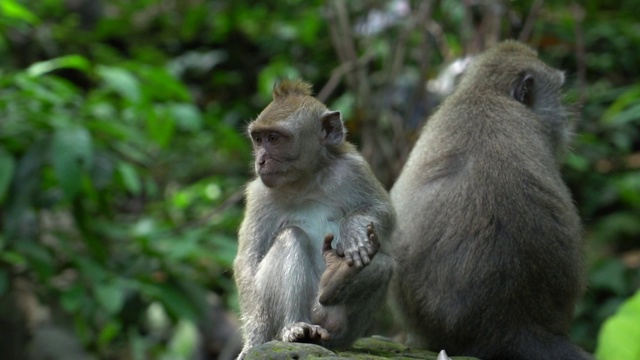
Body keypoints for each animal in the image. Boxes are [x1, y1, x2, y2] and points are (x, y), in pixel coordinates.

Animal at [235, 78, 396, 358]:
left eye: (273, 138)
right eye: (258, 139)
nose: (261, 161)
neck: (306, 181)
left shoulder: (353, 169)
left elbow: (384, 209)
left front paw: (354, 231)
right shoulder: (260, 195)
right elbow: (247, 261)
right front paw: (254, 340)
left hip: (339, 326)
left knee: (385, 264)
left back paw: (337, 281)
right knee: (291, 237)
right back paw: (296, 328)